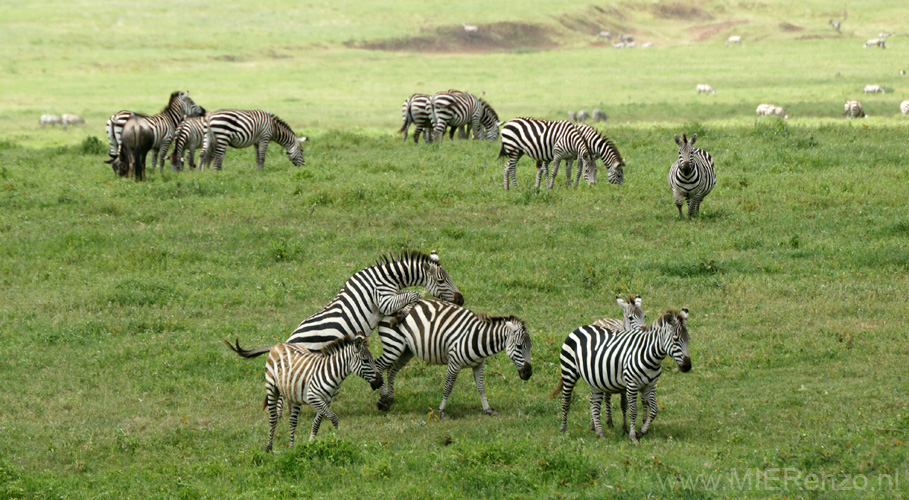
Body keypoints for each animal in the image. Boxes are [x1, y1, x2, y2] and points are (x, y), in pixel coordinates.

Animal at [226, 252, 464, 358]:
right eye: (441, 280)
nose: (461, 299)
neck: (389, 277)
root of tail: (287, 341)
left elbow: (411, 296)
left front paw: (402, 312)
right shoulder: (383, 299)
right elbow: (413, 294)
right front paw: (402, 313)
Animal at [229, 332, 384, 450]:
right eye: (365, 360)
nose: (380, 381)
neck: (333, 374)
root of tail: (279, 344)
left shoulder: (326, 400)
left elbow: (316, 424)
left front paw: (311, 443)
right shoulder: (313, 397)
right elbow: (333, 417)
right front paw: (337, 438)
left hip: (294, 393)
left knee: (292, 421)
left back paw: (291, 446)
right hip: (272, 388)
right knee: (273, 419)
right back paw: (269, 448)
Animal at [374, 298, 532, 420]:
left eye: (530, 346)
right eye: (519, 346)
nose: (528, 373)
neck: (478, 338)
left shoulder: (479, 364)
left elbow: (481, 387)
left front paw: (487, 409)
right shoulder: (454, 363)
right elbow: (448, 387)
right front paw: (442, 411)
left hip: (406, 350)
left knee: (391, 371)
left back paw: (389, 400)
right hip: (393, 344)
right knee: (378, 365)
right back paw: (382, 399)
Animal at [548, 308, 692, 442]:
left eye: (688, 340)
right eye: (675, 339)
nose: (687, 366)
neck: (650, 355)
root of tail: (580, 328)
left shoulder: (649, 386)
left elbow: (654, 410)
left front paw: (642, 431)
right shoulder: (632, 384)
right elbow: (633, 411)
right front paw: (633, 436)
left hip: (595, 380)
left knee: (594, 405)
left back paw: (599, 433)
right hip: (569, 372)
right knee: (566, 401)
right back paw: (563, 429)